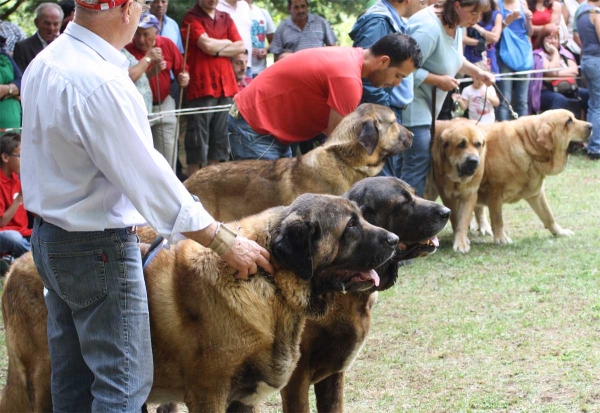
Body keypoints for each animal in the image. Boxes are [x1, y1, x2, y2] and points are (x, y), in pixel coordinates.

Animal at [1, 194, 404, 412]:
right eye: (351, 226)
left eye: (363, 216)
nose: (394, 240)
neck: (268, 281)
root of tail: (15, 268)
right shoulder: (209, 393)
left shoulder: (243, 399)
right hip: (42, 381)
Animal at [476, 110, 592, 245]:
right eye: (568, 121)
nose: (591, 126)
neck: (527, 145)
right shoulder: (495, 192)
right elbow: (497, 218)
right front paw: (501, 238)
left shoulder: (536, 193)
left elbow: (548, 215)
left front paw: (559, 232)